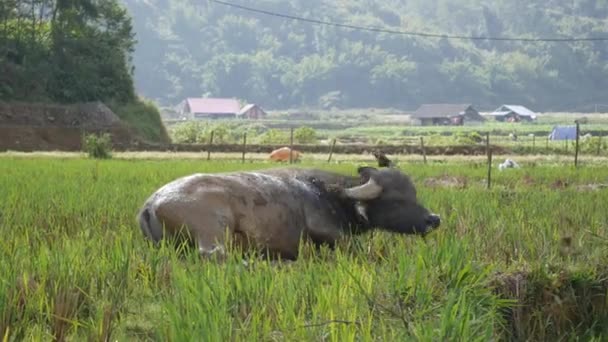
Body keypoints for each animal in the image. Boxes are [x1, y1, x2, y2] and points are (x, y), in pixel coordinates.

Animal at [138, 166, 442, 260]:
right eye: (397, 200)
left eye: (414, 194)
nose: (434, 219)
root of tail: (150, 203)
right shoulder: (326, 230)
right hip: (214, 227)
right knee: (213, 254)